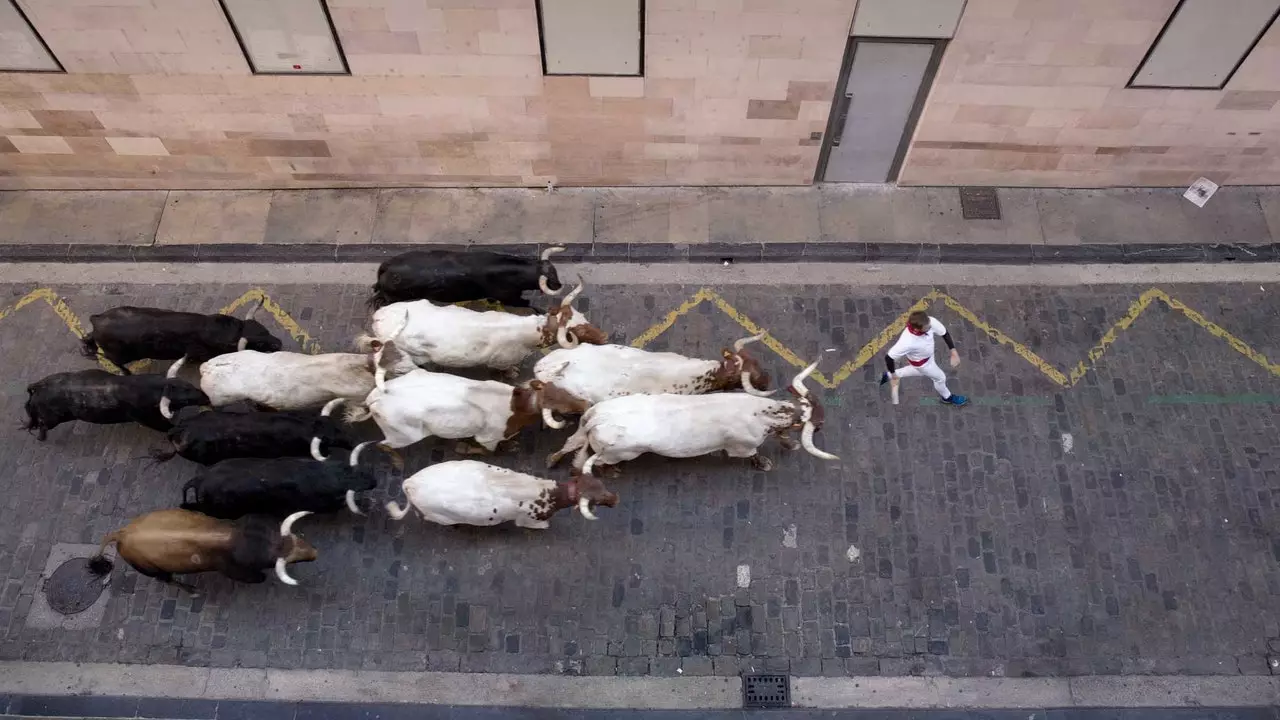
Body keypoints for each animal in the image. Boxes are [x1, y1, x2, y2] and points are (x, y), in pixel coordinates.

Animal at [371, 244, 570, 307]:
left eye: (555, 271)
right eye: (552, 278)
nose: (559, 285)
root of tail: (386, 266)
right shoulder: (510, 298)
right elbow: (528, 305)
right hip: (393, 298)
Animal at [381, 458, 616, 527]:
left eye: (600, 483)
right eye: (594, 501)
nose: (615, 498)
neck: (547, 493)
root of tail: (411, 482)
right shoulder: (527, 521)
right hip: (441, 516)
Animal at [547, 361, 839, 474]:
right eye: (818, 424)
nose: (824, 424)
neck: (760, 414)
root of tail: (598, 417)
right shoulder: (742, 447)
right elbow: (754, 454)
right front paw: (764, 462)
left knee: (572, 445)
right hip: (620, 453)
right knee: (596, 461)